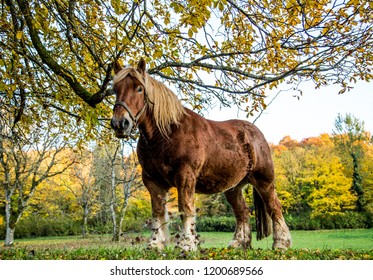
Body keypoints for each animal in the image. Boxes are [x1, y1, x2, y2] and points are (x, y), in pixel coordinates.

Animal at [110, 57, 290, 252]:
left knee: (274, 207)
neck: (166, 134)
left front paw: (186, 244)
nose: (120, 123)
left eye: (139, 88)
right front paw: (155, 244)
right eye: (115, 89)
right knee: (242, 212)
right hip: (233, 188)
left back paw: (281, 244)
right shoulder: (152, 180)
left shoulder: (185, 176)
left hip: (264, 181)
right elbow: (157, 212)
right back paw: (238, 244)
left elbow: (185, 209)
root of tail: (256, 134)